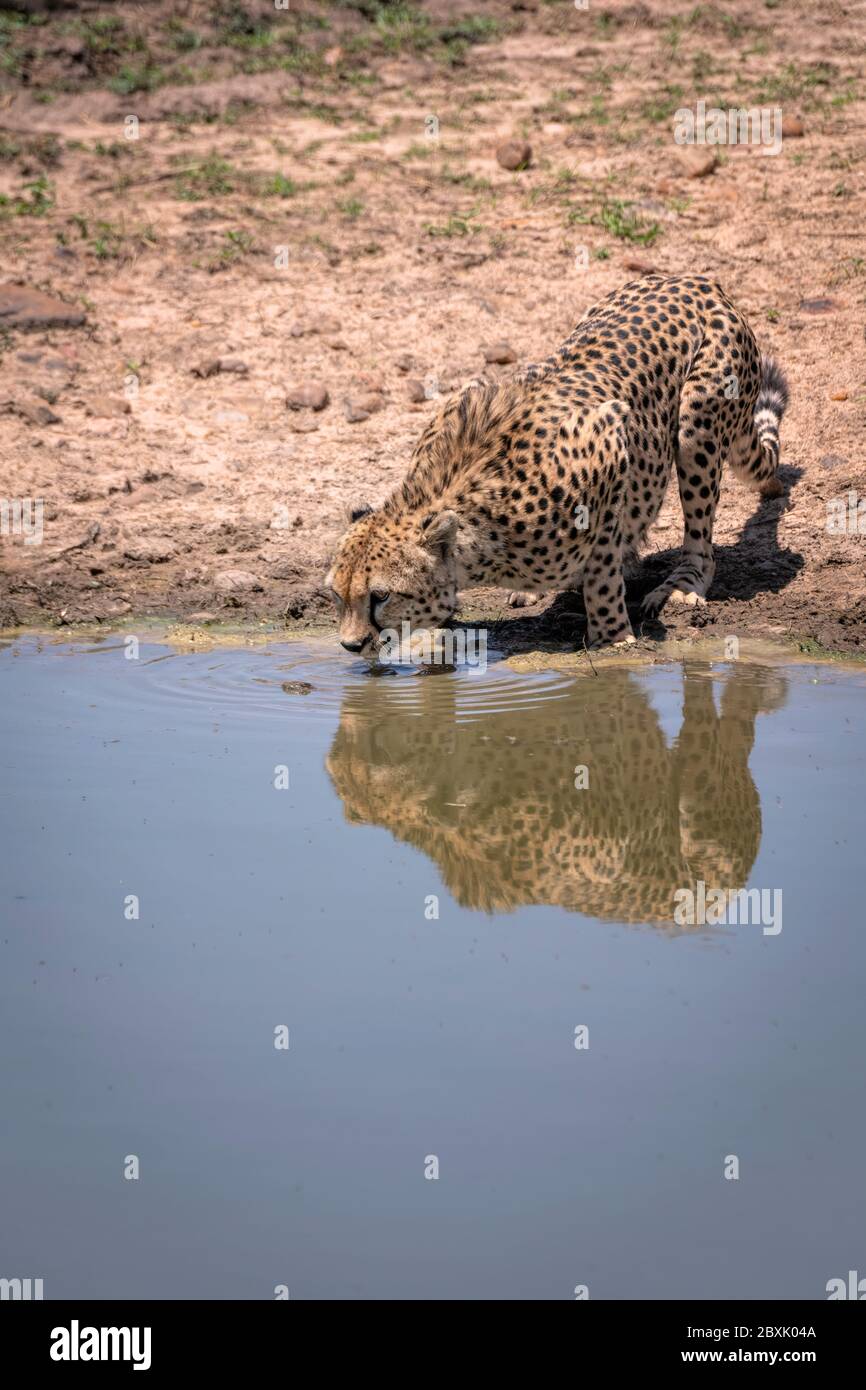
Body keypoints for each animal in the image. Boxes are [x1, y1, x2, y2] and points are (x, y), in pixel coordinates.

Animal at [325, 279, 783, 658]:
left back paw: (681, 584)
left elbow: (602, 569)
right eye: (336, 594)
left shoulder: (609, 442)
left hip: (697, 423)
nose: (350, 645)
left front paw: (612, 637)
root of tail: (695, 281)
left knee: (699, 541)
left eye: (381, 595)